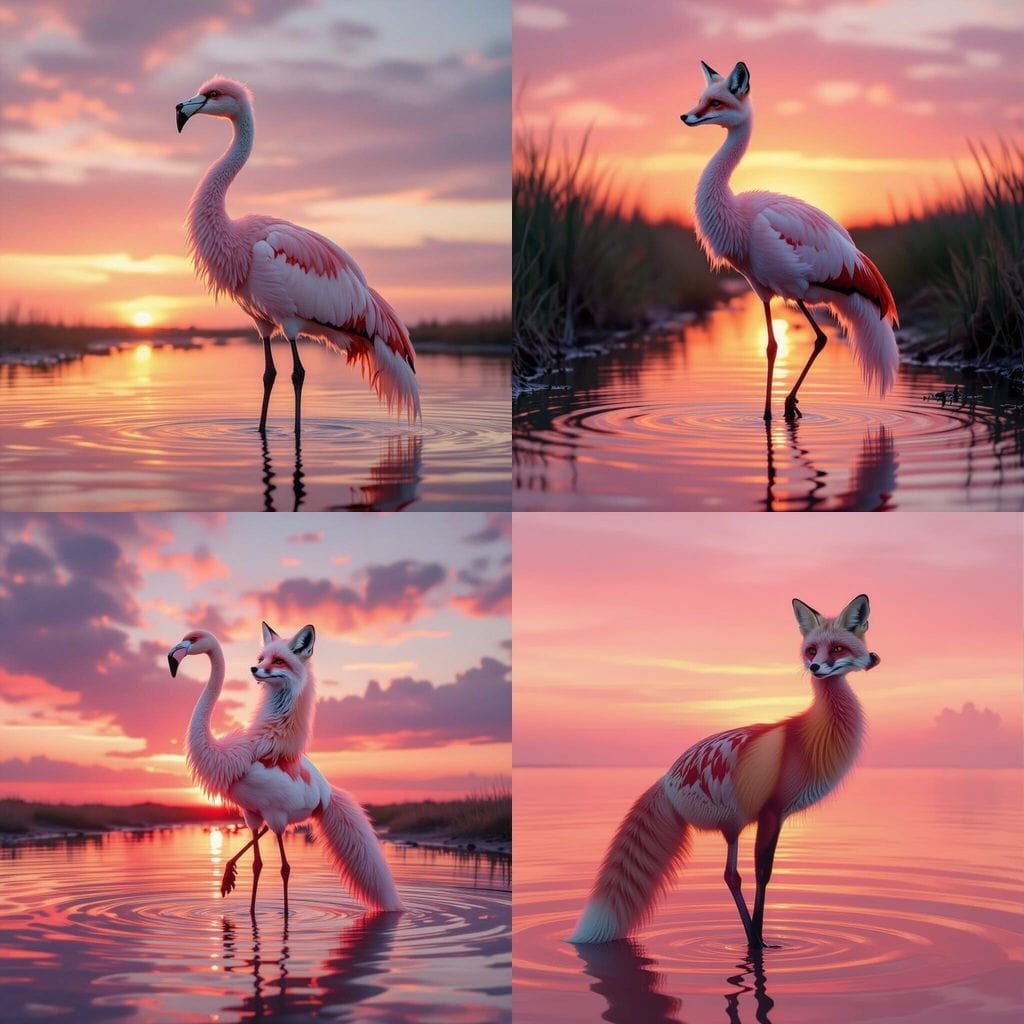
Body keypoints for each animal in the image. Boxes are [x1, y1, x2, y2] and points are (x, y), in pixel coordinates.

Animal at [569, 594, 880, 946]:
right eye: (812, 650)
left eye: (838, 648)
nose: (815, 668)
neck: (804, 739)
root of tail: (667, 778)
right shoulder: (770, 811)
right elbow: (762, 874)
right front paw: (760, 940)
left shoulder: (779, 815)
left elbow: (765, 874)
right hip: (732, 823)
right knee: (731, 875)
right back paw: (752, 940)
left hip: (733, 826)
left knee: (732, 875)